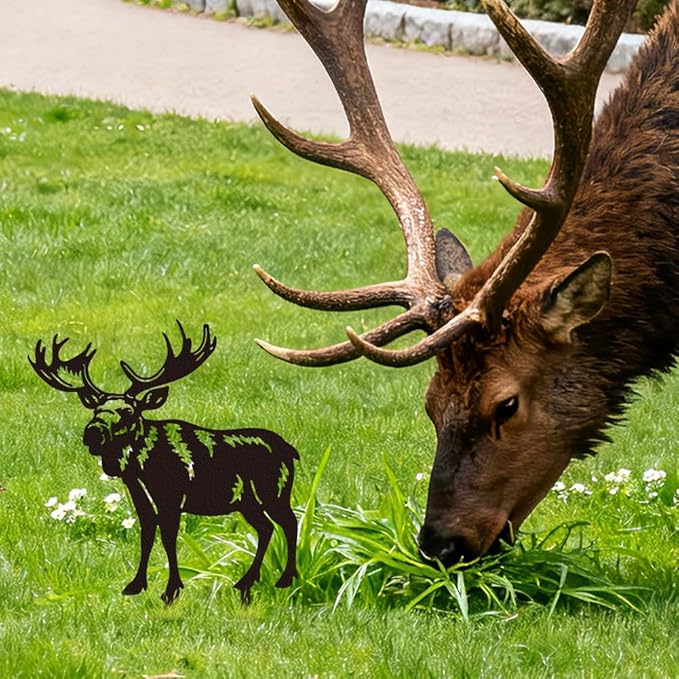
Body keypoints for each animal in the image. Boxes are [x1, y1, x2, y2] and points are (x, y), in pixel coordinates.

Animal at [30, 323, 298, 604]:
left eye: (129, 411)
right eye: (96, 410)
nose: (93, 432)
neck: (141, 469)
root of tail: (292, 451)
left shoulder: (172, 496)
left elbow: (169, 537)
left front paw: (171, 591)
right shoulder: (140, 496)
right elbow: (147, 534)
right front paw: (136, 585)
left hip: (274, 491)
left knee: (289, 522)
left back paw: (284, 579)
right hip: (247, 501)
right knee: (267, 527)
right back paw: (247, 581)